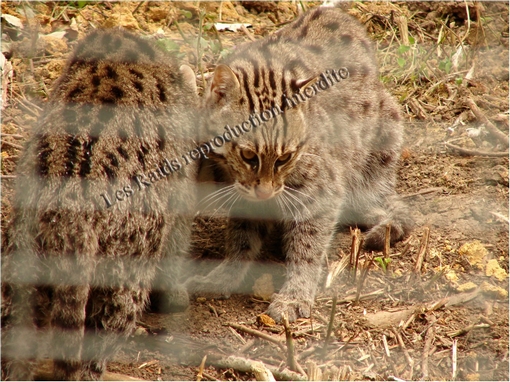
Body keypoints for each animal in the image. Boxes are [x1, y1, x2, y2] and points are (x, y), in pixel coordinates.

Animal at [0, 28, 198, 380]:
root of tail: (68, 212)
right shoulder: (180, 189)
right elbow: (176, 248)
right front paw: (176, 295)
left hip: (20, 261)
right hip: (125, 271)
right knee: (99, 339)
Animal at [185, 5, 412, 322]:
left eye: (285, 158)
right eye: (248, 156)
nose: (266, 192)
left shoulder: (322, 193)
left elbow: (307, 247)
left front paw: (295, 295)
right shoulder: (244, 196)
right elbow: (242, 240)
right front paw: (227, 275)